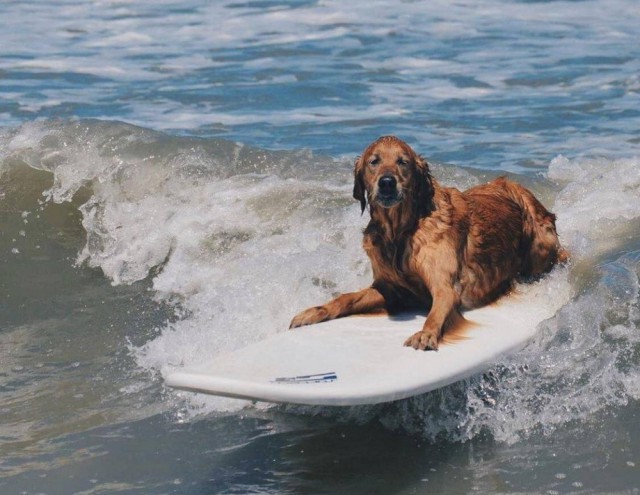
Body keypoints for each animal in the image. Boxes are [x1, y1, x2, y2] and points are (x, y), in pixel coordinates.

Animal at [290, 136, 564, 350]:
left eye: (403, 162)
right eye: (373, 161)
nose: (387, 182)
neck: (401, 232)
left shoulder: (445, 287)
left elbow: (438, 309)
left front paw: (426, 333)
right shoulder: (390, 289)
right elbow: (345, 298)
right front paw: (315, 311)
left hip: (541, 239)